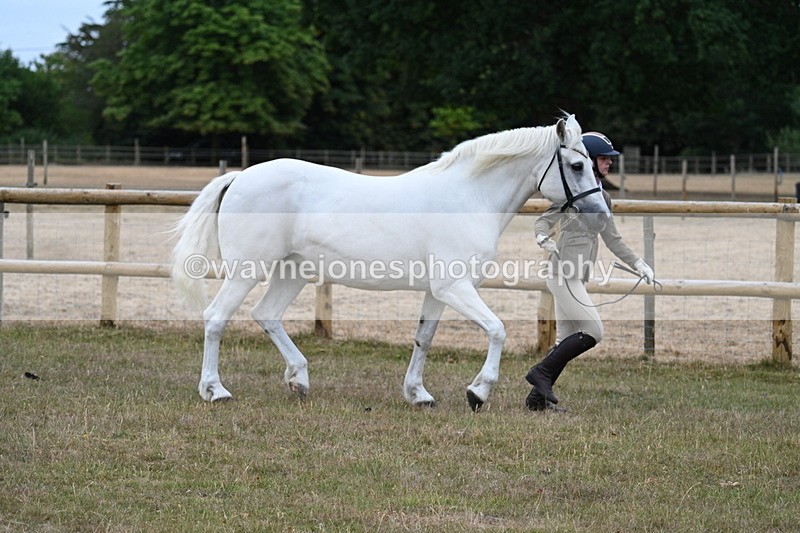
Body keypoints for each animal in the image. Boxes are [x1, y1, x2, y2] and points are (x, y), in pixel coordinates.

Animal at [171, 113, 610, 411]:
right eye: (576, 165)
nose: (602, 214)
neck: (469, 198)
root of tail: (239, 176)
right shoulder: (455, 288)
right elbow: (497, 330)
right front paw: (477, 392)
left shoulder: (439, 291)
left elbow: (424, 338)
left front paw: (419, 394)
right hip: (248, 270)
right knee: (216, 318)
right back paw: (215, 391)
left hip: (293, 271)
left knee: (267, 315)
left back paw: (299, 380)